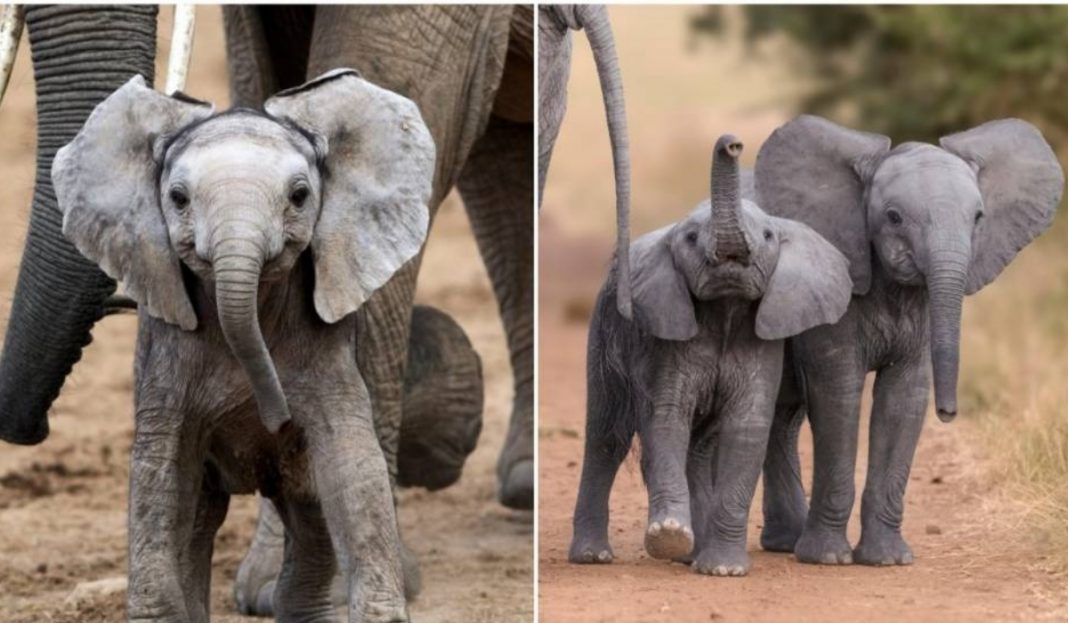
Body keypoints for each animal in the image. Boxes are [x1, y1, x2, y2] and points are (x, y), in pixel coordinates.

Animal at [568, 134, 850, 577]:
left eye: (768, 235)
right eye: (688, 239)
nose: (732, 144)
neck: (725, 309)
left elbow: (746, 428)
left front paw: (722, 569)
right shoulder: (667, 339)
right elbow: (667, 418)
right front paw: (668, 535)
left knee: (699, 448)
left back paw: (692, 556)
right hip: (604, 328)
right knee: (606, 435)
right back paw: (595, 556)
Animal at [756, 114, 1063, 568]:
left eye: (978, 217)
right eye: (894, 217)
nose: (949, 413)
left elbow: (902, 398)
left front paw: (887, 560)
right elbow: (838, 393)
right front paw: (828, 559)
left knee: (784, 415)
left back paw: (784, 543)